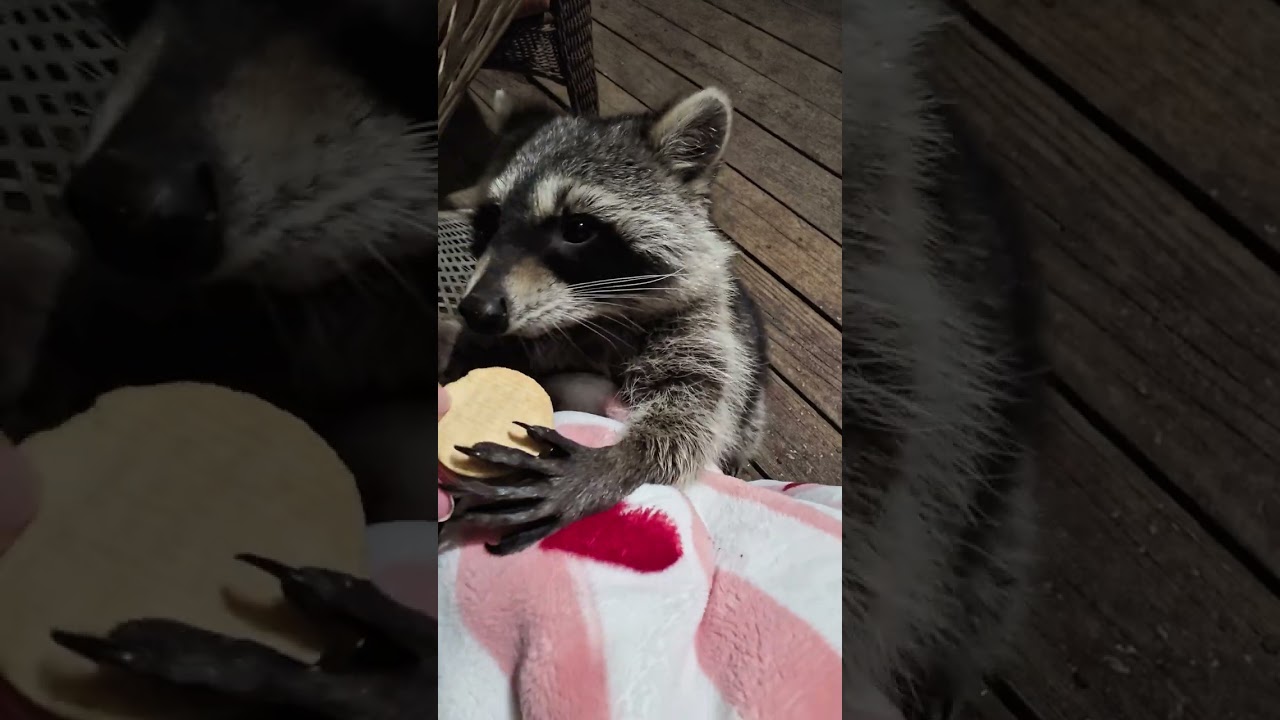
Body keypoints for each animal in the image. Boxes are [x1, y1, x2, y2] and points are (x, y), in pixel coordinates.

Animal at [439, 88, 771, 555]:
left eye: (578, 228)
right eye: (489, 222)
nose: (478, 311)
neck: (590, 316)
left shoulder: (707, 329)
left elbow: (692, 420)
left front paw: (616, 462)